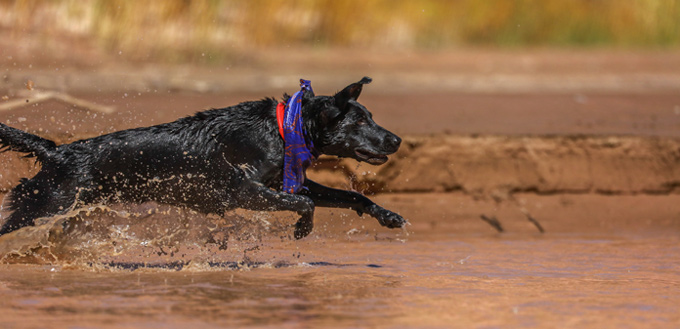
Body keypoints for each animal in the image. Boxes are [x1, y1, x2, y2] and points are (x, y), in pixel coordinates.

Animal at [0, 76, 404, 238]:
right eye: (361, 120)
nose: (397, 139)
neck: (282, 128)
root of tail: (57, 150)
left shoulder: (282, 182)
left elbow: (349, 195)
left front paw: (388, 215)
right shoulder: (243, 191)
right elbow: (305, 204)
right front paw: (302, 228)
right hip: (46, 204)